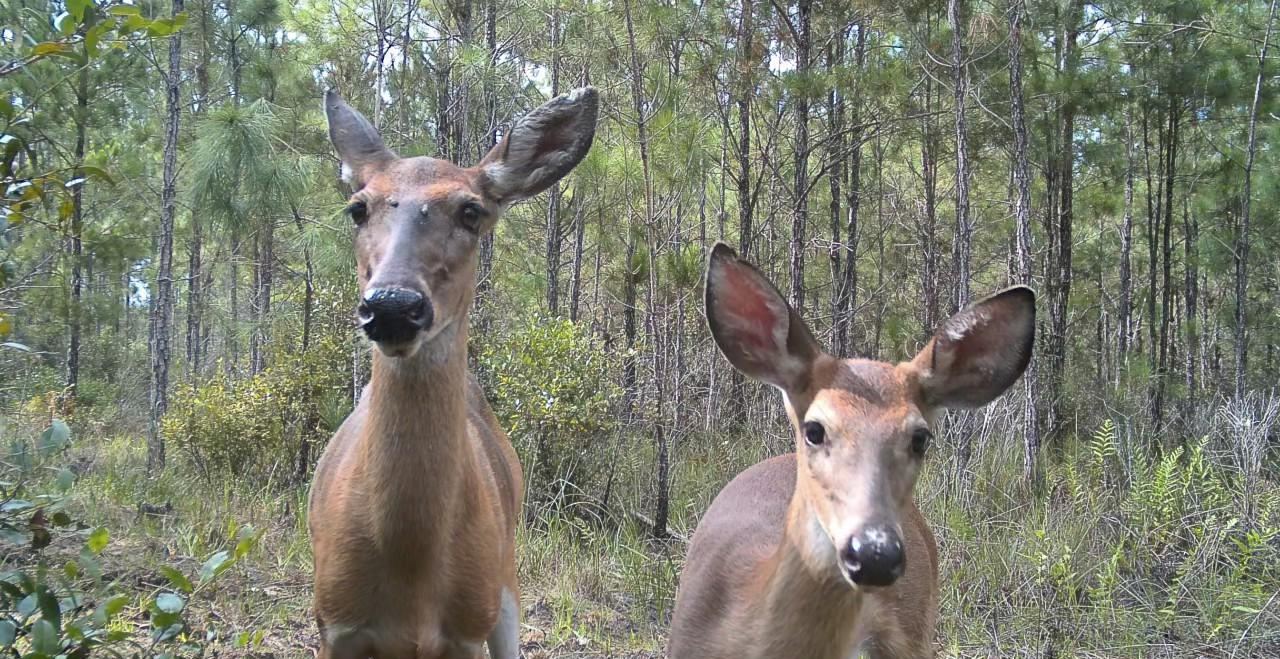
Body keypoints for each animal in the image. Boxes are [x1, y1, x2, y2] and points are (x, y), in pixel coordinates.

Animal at [308, 86, 599, 659]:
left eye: (471, 211)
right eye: (358, 208)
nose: (394, 306)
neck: (411, 562)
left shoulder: (467, 628)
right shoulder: (334, 623)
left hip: (503, 582)